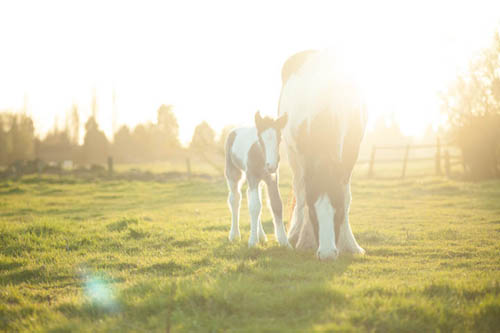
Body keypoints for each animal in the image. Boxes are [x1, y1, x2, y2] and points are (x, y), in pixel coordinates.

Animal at [280, 49, 366, 260]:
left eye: (339, 210)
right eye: (313, 211)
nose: (327, 254)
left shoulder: (351, 154)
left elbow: (347, 195)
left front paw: (350, 244)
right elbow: (304, 196)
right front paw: (305, 240)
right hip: (292, 154)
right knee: (299, 189)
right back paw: (295, 234)